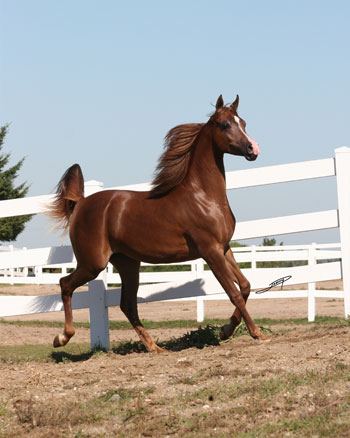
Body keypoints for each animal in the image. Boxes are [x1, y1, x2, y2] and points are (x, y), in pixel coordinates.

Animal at [48, 96, 268, 352]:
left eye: (243, 122)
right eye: (225, 124)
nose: (253, 149)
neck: (203, 197)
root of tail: (81, 203)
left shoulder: (224, 248)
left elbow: (245, 285)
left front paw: (226, 330)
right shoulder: (210, 251)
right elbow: (233, 292)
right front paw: (257, 333)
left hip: (128, 264)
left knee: (127, 305)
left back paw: (154, 347)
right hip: (93, 263)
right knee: (65, 284)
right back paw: (62, 337)